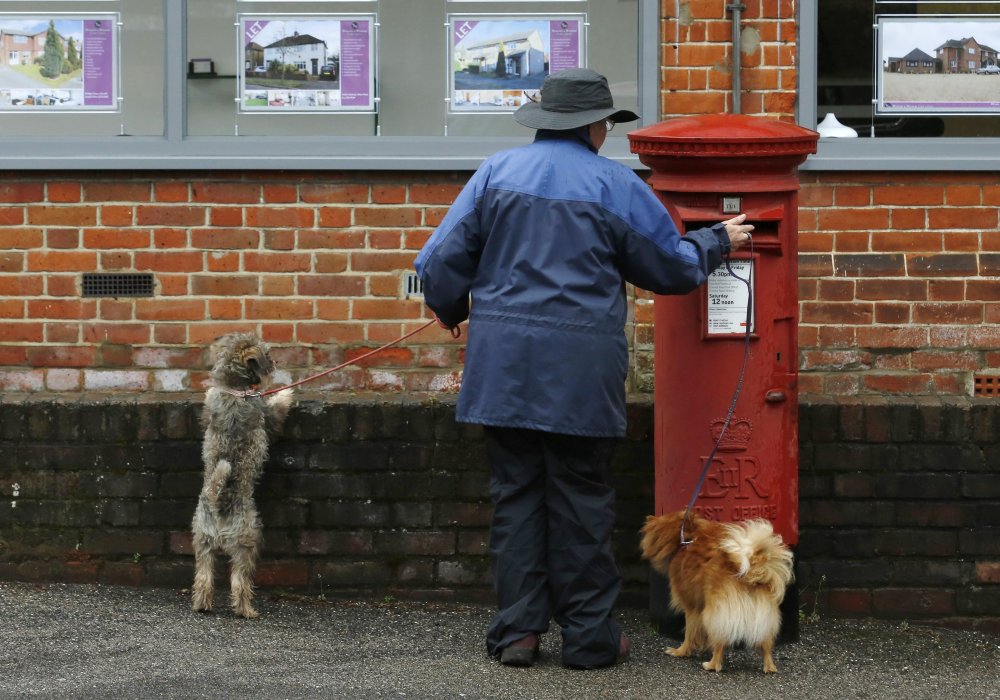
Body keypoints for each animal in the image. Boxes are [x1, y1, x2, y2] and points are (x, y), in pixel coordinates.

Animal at [190, 334, 292, 616]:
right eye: (267, 354)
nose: (276, 363)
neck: (235, 390)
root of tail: (218, 501)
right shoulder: (267, 416)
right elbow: (277, 408)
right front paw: (286, 392)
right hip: (246, 543)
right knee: (239, 582)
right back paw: (247, 611)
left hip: (203, 542)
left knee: (203, 578)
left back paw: (202, 605)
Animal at [640, 512, 796, 676]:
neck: (689, 536)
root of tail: (751, 572)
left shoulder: (692, 607)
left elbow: (689, 633)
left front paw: (681, 651)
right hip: (763, 618)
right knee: (766, 644)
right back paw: (769, 667)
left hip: (714, 614)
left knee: (720, 642)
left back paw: (712, 664)